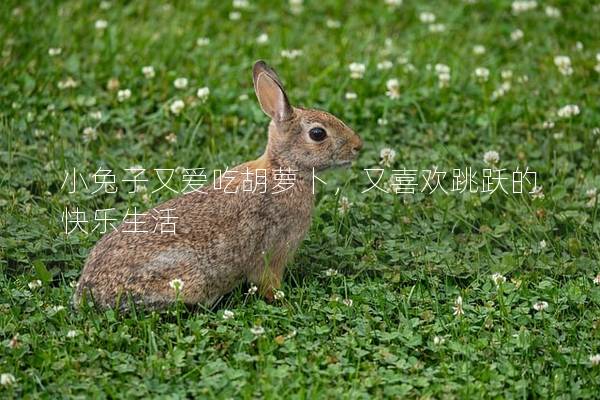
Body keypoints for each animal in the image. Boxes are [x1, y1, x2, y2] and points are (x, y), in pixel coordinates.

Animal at [70, 60, 360, 310]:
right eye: (318, 134)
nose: (359, 146)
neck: (283, 169)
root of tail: (87, 292)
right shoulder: (272, 252)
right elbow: (267, 283)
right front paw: (283, 300)